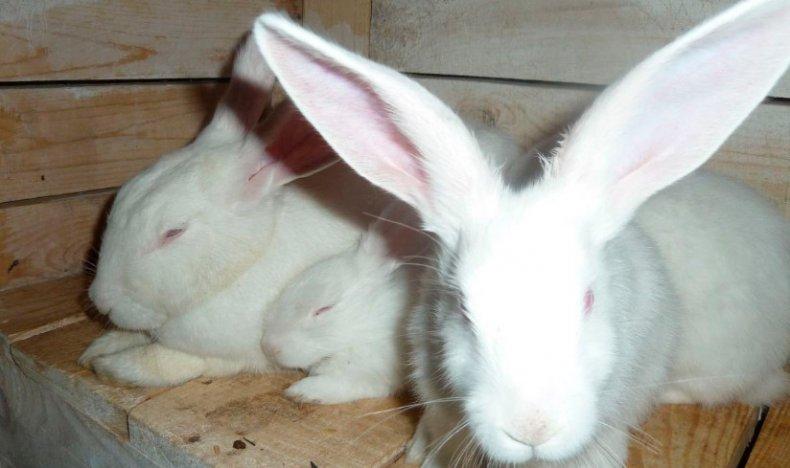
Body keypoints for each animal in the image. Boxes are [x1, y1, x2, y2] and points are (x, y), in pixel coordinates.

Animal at [78, 35, 394, 387]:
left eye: (174, 232)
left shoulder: (226, 355)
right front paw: (98, 348)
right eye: (118, 200)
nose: (101, 300)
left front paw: (109, 365)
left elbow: (166, 361)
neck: (245, 264)